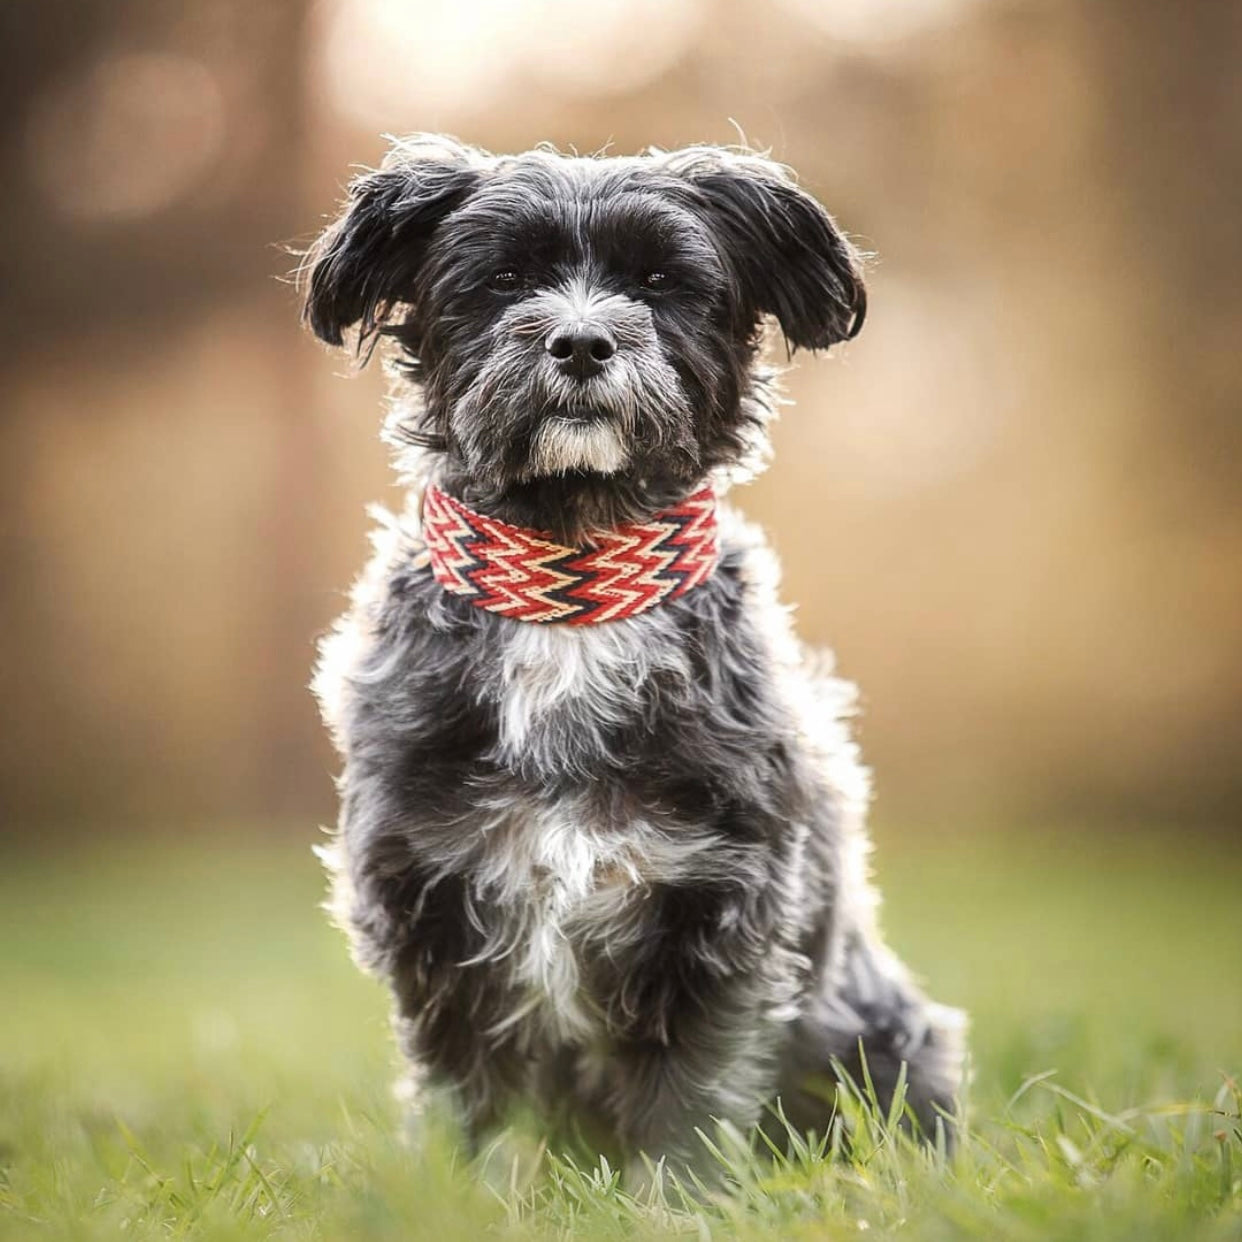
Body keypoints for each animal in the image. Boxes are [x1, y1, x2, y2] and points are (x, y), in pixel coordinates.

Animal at [303, 135, 968, 1182]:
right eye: (504, 280)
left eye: (660, 282)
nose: (580, 343)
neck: (574, 591)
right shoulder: (434, 904)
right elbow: (471, 1100)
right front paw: (462, 1194)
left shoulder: (717, 912)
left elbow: (686, 1097)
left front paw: (681, 1198)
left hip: (888, 1040)